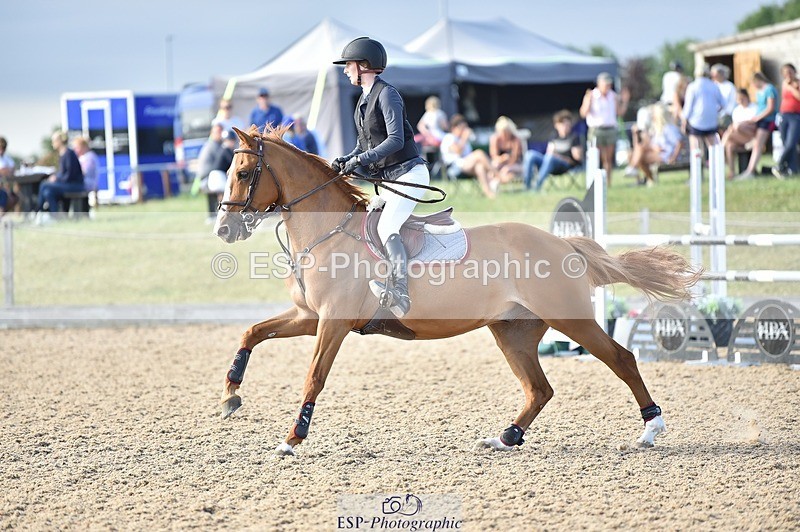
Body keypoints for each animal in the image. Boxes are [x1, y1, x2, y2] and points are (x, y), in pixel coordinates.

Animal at [214, 125, 701, 456]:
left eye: (244, 172)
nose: (224, 230)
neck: (327, 233)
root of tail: (564, 245)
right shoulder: (310, 317)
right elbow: (251, 333)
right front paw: (231, 394)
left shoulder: (331, 322)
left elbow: (314, 375)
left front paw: (292, 438)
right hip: (512, 331)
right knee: (539, 389)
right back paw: (506, 437)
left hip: (571, 320)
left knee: (621, 359)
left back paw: (650, 430)